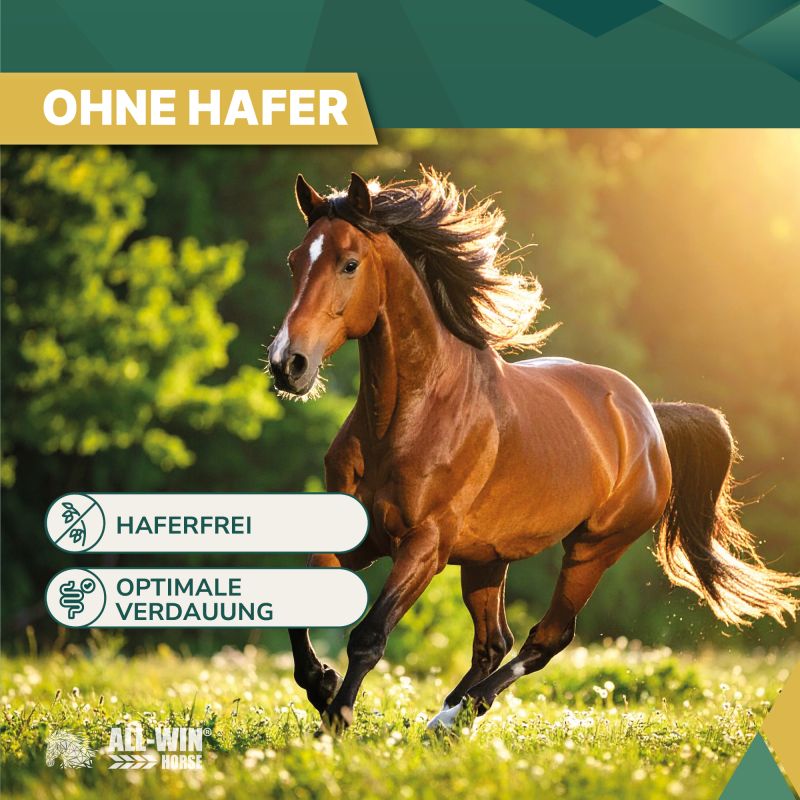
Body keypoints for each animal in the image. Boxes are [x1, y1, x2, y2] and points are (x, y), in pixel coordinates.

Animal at [268, 168, 799, 732]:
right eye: (295, 260)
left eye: (349, 263)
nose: (288, 364)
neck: (408, 419)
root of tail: (651, 419)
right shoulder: (358, 533)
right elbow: (301, 603)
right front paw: (322, 685)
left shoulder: (424, 546)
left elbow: (370, 636)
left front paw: (336, 719)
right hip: (487, 559)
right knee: (493, 642)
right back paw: (449, 717)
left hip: (591, 550)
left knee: (546, 639)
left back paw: (454, 716)